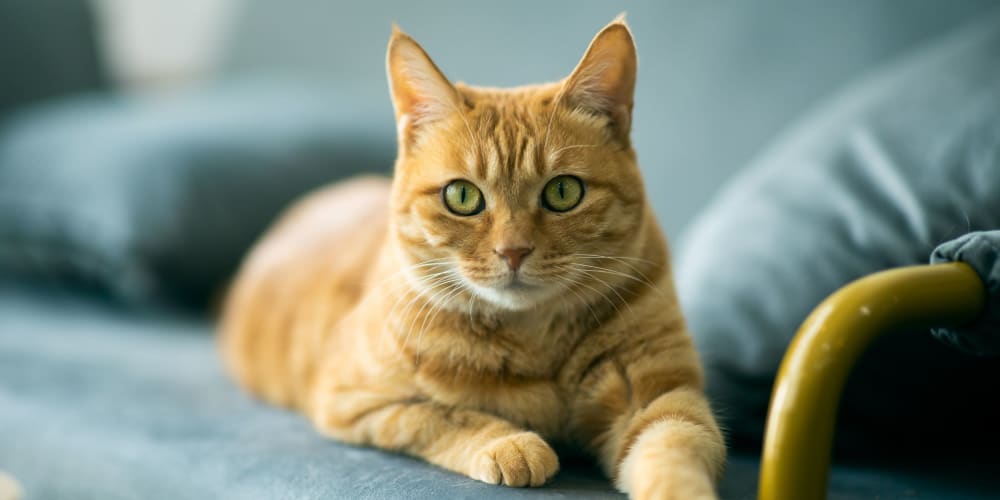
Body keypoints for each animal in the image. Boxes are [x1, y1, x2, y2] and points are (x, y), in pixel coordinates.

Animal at [219, 15, 724, 500]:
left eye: (564, 192)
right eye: (462, 196)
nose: (513, 251)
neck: (534, 341)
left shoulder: (661, 398)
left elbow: (673, 450)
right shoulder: (354, 401)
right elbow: (443, 415)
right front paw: (510, 443)